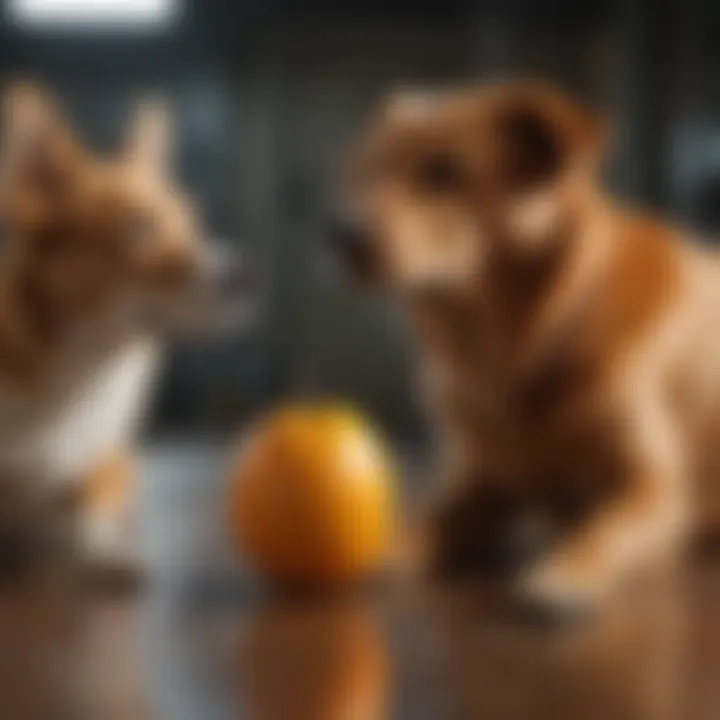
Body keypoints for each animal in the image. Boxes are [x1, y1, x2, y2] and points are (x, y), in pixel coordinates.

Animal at [330, 81, 720, 616]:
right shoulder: (481, 488)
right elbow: (419, 526)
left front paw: (565, 574)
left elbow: (602, 529)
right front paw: (372, 551)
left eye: (445, 171)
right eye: (365, 171)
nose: (338, 234)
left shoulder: (655, 487)